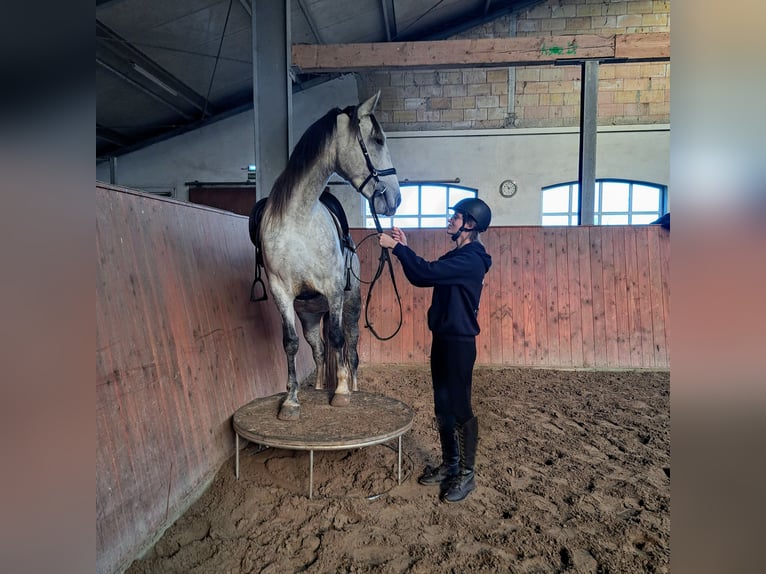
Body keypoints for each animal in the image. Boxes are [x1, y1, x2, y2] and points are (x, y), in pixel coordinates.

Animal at [258, 92, 402, 420]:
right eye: (377, 139)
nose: (395, 197)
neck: (298, 222)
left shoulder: (334, 290)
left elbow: (338, 339)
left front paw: (342, 392)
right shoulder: (281, 292)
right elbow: (291, 344)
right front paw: (291, 400)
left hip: (351, 307)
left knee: (350, 346)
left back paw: (352, 384)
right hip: (310, 315)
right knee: (319, 349)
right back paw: (320, 383)